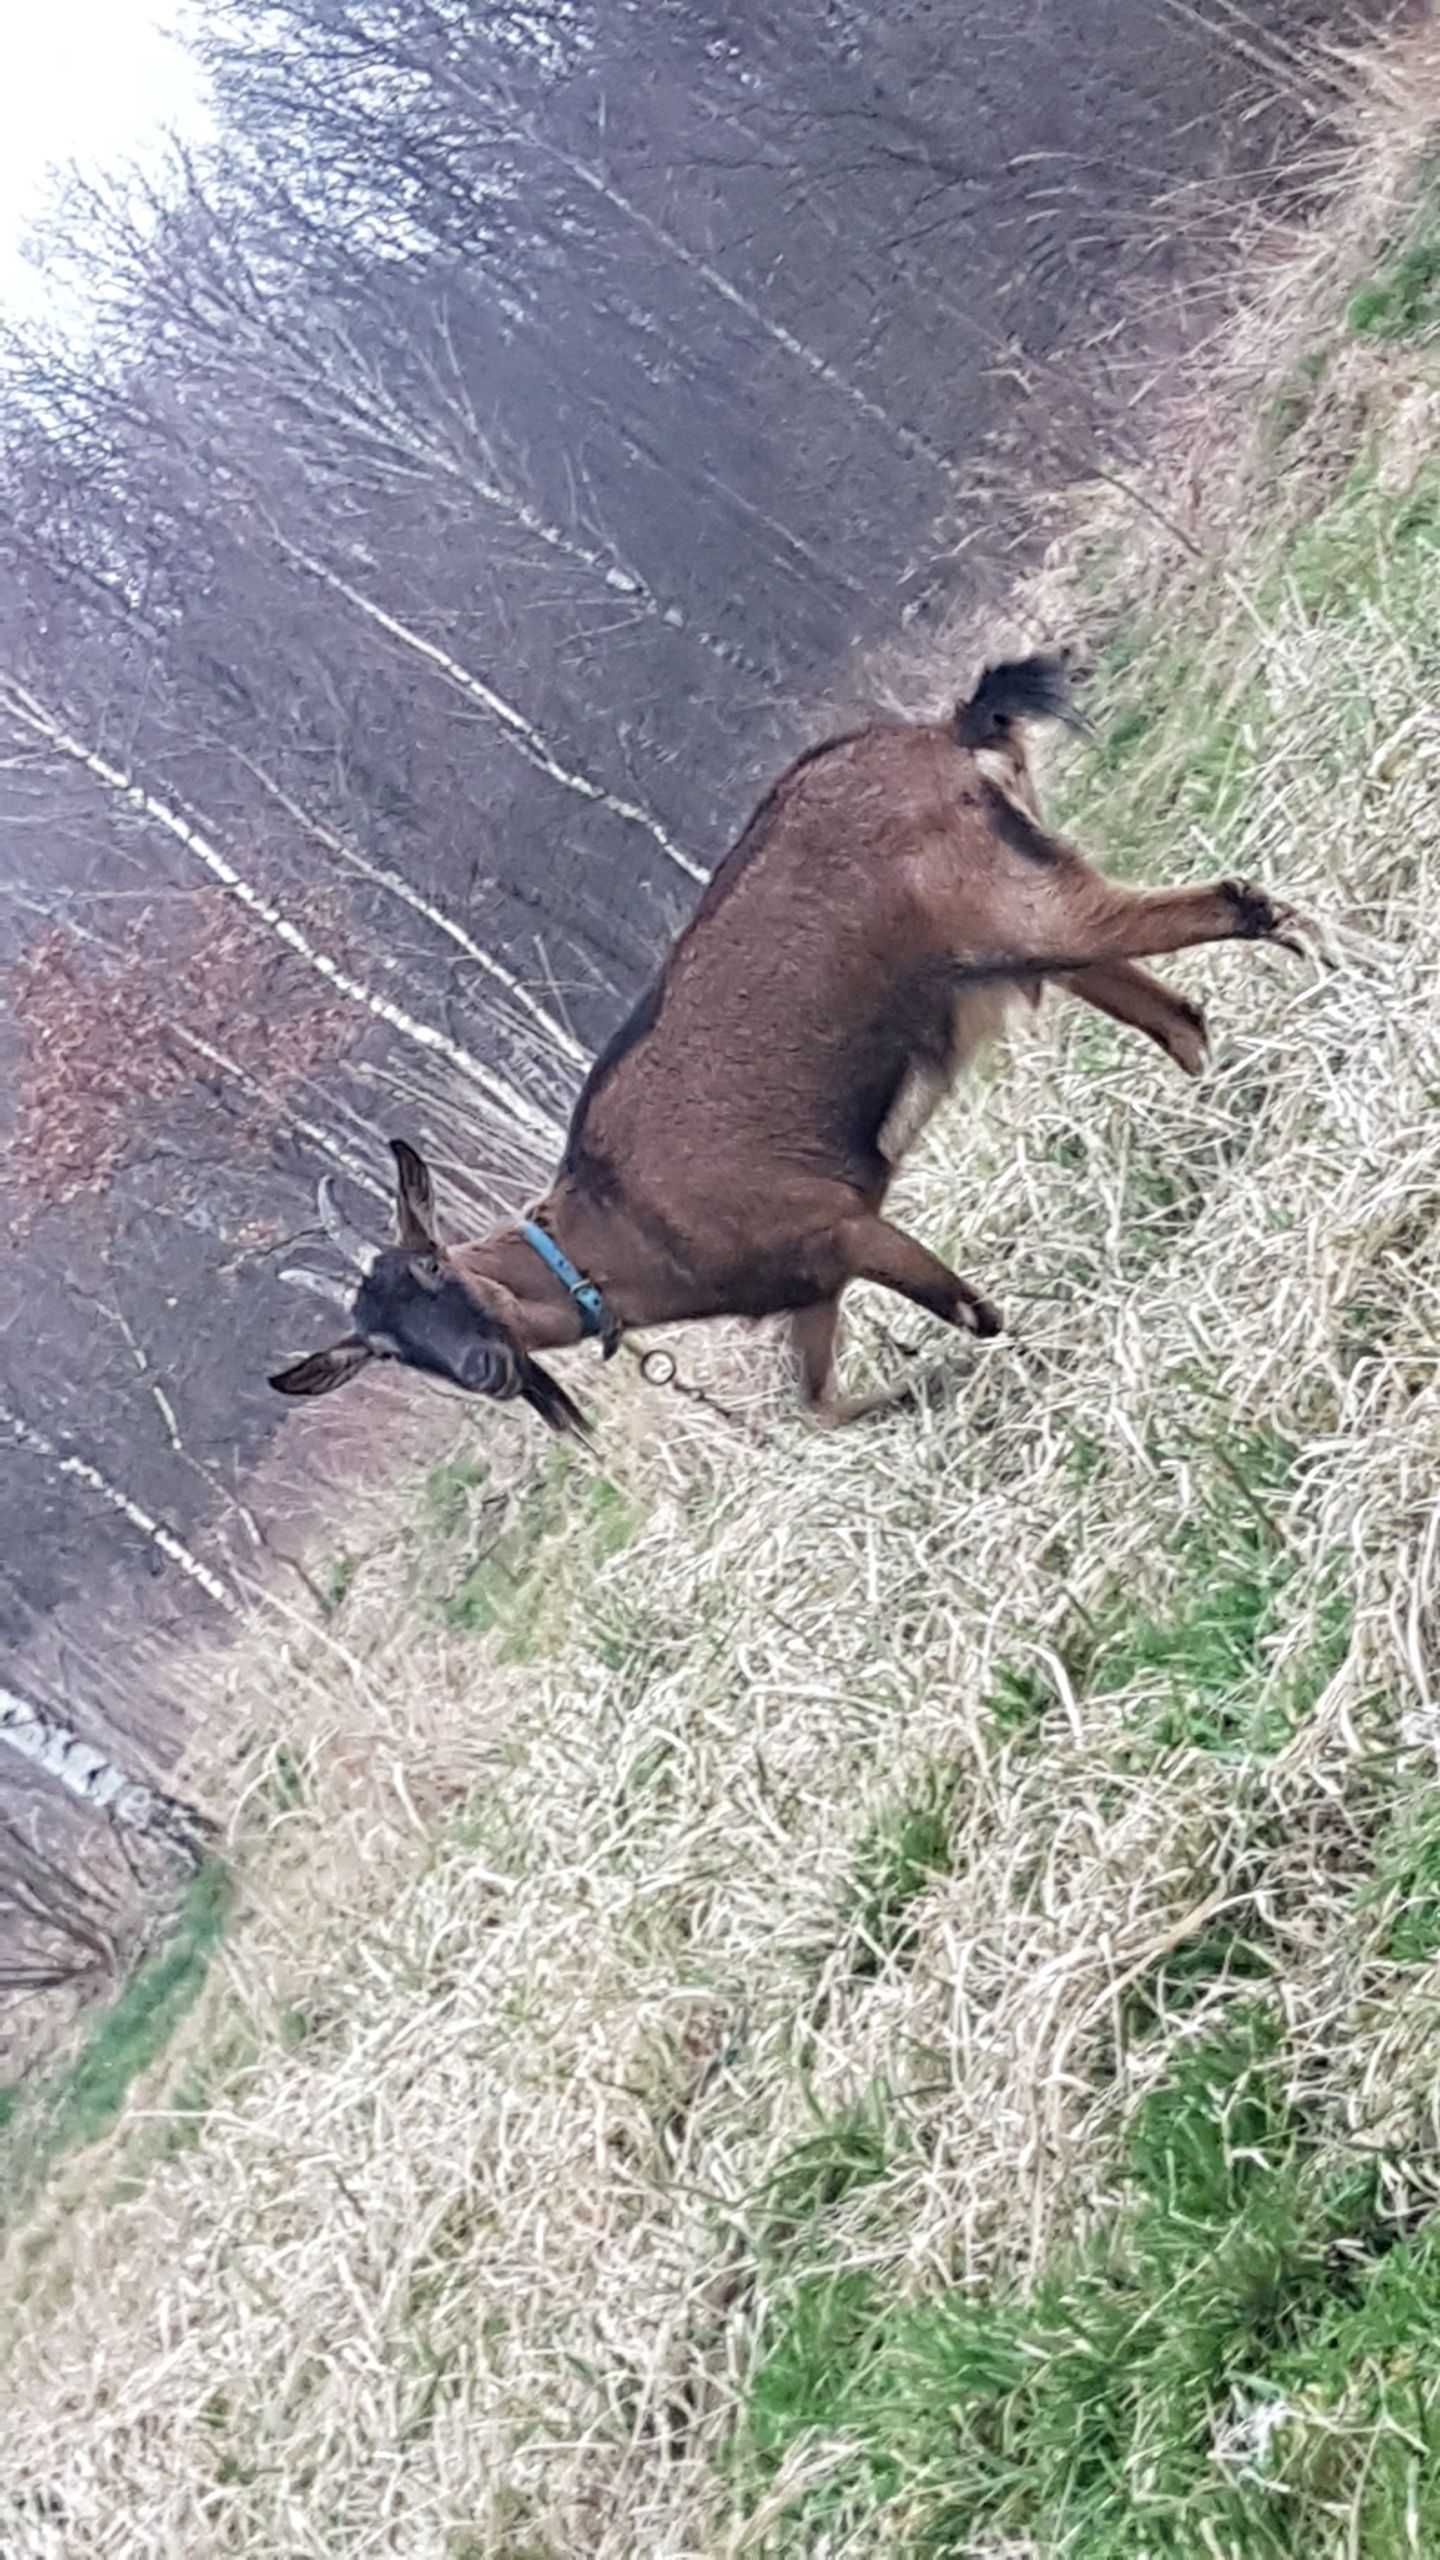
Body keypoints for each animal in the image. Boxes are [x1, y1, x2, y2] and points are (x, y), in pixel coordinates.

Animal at [271, 650, 1311, 1433]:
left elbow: (974, 1315)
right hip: (1022, 942)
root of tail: (948, 733)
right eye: (384, 1350)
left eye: (434, 1267)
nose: (485, 1368)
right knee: (1179, 1014)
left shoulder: (838, 1221)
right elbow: (815, 1404)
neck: (623, 1224)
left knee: (1235, 904)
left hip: (1023, 909)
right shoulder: (812, 1286)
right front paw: (913, 1390)